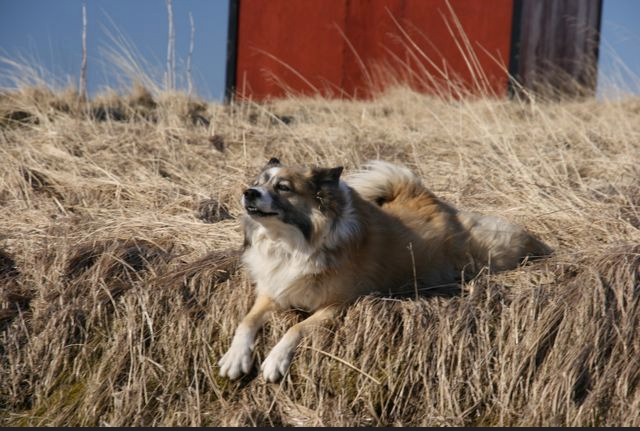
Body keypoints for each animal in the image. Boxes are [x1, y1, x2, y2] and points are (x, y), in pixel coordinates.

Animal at [219, 158, 552, 382]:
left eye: (283, 187)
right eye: (259, 181)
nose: (248, 192)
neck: (292, 244)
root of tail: (419, 194)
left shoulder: (337, 304)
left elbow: (295, 328)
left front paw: (275, 360)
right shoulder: (274, 290)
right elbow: (246, 321)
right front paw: (235, 358)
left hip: (489, 251)